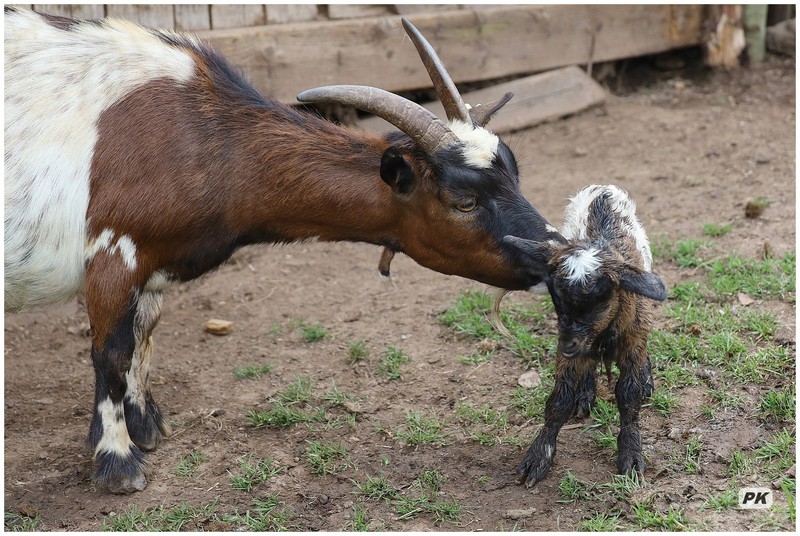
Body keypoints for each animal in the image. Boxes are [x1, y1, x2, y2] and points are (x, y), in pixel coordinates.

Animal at [3, 8, 564, 494]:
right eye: (464, 201)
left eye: (515, 172)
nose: (552, 254)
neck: (202, 138)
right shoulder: (113, 252)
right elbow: (112, 352)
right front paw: (117, 462)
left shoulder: (155, 263)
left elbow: (144, 334)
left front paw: (146, 425)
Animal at [506, 184, 668, 486]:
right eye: (557, 301)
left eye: (599, 302)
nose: (568, 344)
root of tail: (604, 190)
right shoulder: (569, 353)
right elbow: (559, 401)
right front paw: (538, 456)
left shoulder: (632, 340)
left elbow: (629, 396)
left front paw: (631, 453)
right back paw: (586, 391)